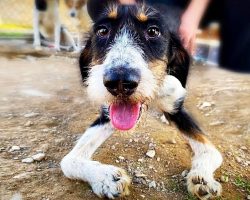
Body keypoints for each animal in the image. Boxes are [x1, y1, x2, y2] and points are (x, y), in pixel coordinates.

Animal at [60, 0, 223, 199]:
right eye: (102, 31)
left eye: (153, 31)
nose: (119, 82)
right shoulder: (107, 115)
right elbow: (69, 161)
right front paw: (106, 178)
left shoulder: (176, 109)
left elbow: (211, 152)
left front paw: (202, 178)